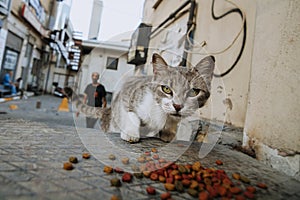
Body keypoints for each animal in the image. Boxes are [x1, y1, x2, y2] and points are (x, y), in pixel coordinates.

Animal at [64, 53, 214, 142]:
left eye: (193, 92)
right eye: (166, 89)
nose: (177, 106)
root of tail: (107, 110)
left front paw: (168, 133)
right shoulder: (128, 95)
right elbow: (131, 114)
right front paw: (131, 133)